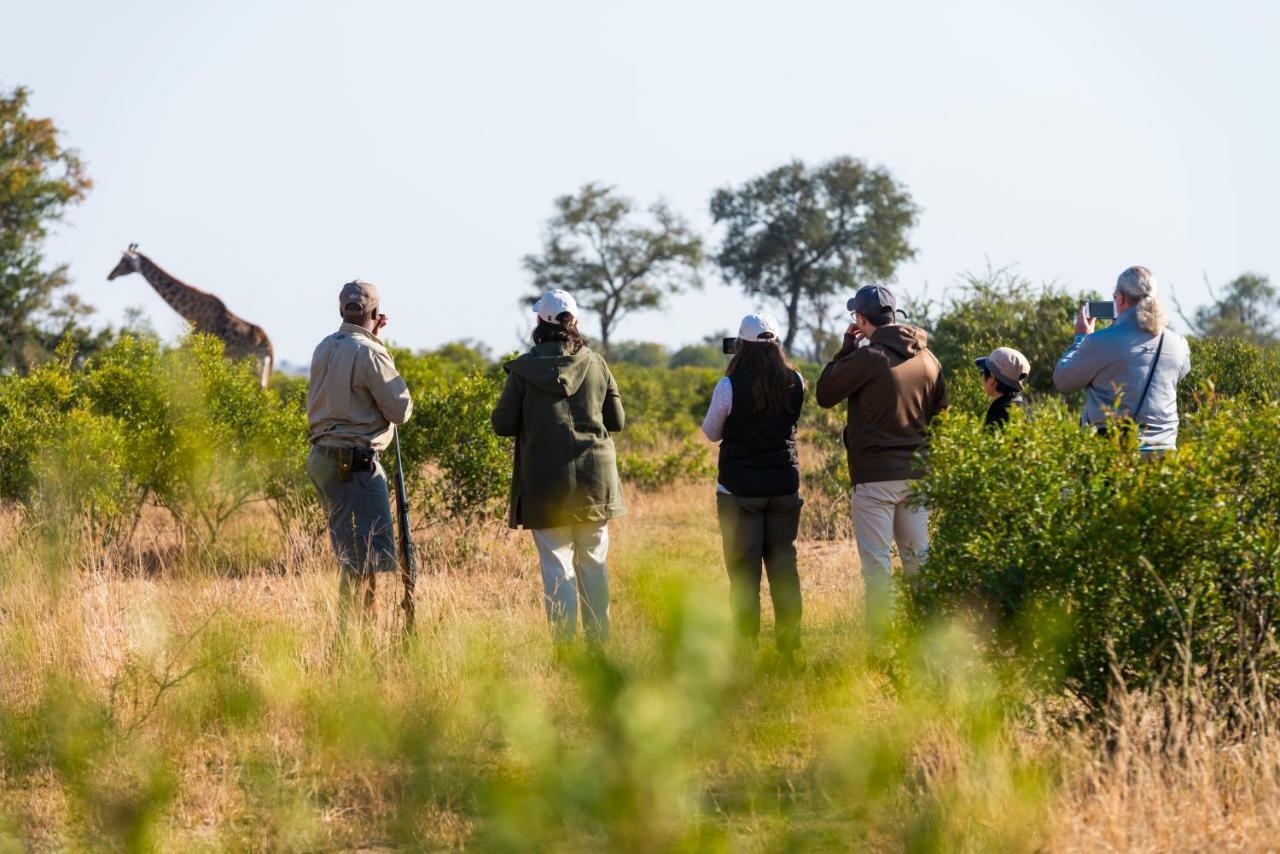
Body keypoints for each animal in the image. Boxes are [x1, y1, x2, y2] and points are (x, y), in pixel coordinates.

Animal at [108, 240, 275, 386]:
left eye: (124, 261)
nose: (110, 275)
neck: (191, 312)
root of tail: (270, 348)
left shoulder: (200, 343)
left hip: (252, 364)